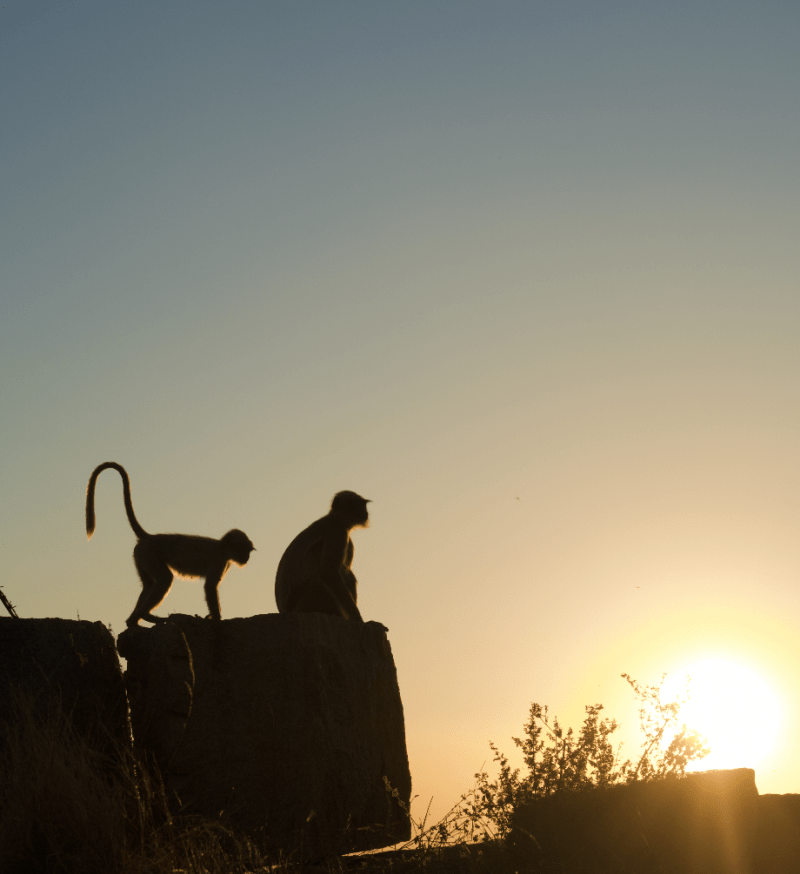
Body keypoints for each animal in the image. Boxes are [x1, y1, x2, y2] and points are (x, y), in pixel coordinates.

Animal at [86, 462, 255, 628]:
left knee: (148, 584)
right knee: (164, 579)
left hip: (141, 557)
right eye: (244, 550)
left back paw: (134, 621)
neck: (222, 547)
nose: (247, 558)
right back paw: (142, 617)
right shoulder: (219, 560)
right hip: (149, 555)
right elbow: (210, 587)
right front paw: (217, 619)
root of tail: (149, 537)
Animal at [275, 491, 370, 623]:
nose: (365, 512)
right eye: (355, 505)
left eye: (363, 505)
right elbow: (328, 572)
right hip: (308, 600)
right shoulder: (337, 532)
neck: (335, 519)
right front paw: (358, 619)